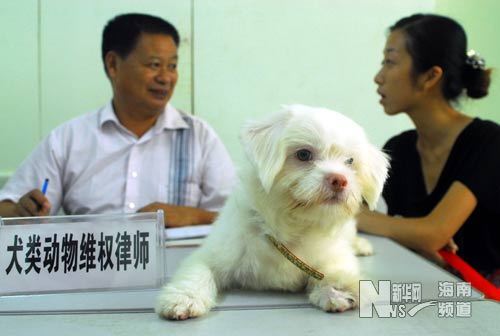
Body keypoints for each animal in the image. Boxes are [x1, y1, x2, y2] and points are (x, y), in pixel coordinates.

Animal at [156, 103, 390, 318]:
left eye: (350, 161)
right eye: (303, 154)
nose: (339, 180)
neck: (290, 228)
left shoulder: (333, 255)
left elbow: (335, 270)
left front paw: (338, 290)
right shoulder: (215, 252)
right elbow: (198, 270)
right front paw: (184, 297)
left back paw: (361, 245)